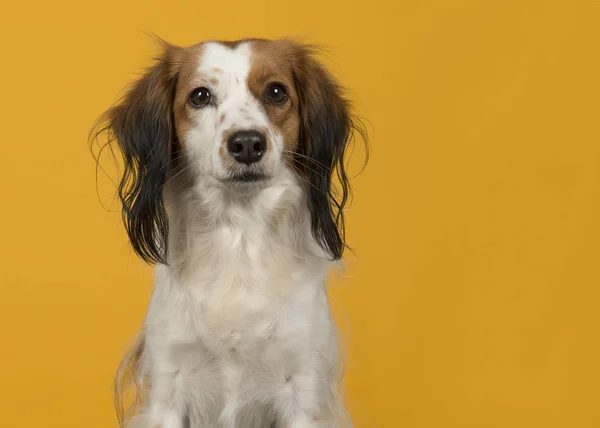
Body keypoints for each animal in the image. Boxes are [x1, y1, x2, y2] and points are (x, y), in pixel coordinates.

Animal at [92, 37, 368, 428]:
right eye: (200, 96)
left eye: (276, 91)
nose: (248, 143)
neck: (239, 236)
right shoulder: (169, 381)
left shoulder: (301, 385)